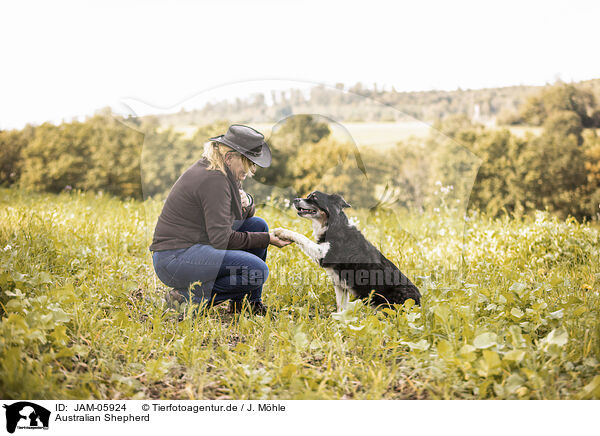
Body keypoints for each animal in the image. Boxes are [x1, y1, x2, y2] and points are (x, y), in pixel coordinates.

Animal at [274, 192, 420, 312]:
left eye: (314, 197)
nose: (295, 199)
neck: (332, 225)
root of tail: (419, 301)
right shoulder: (340, 285)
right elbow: (341, 308)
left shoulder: (324, 254)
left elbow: (302, 237)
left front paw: (282, 231)